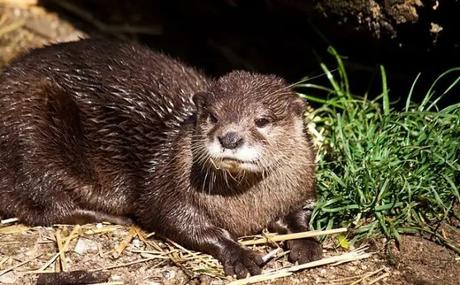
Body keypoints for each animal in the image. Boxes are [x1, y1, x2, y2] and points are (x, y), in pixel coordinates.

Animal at [0, 38, 322, 276]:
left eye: (262, 120)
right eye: (212, 116)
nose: (229, 138)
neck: (247, 206)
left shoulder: (300, 183)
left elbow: (300, 212)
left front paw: (306, 242)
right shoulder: (166, 183)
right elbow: (176, 219)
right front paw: (239, 254)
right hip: (28, 132)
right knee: (42, 203)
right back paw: (111, 216)